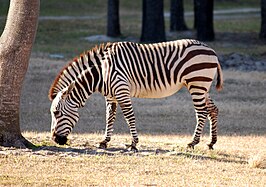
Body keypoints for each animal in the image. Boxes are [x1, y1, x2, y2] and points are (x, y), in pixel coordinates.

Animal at [49, 38, 222, 151]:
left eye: (56, 113)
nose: (55, 139)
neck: (101, 73)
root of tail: (212, 50)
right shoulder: (110, 96)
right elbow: (109, 117)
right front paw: (104, 141)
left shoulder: (121, 90)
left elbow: (129, 116)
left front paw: (133, 143)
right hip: (201, 86)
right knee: (213, 109)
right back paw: (212, 142)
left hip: (197, 83)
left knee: (202, 112)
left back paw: (193, 142)